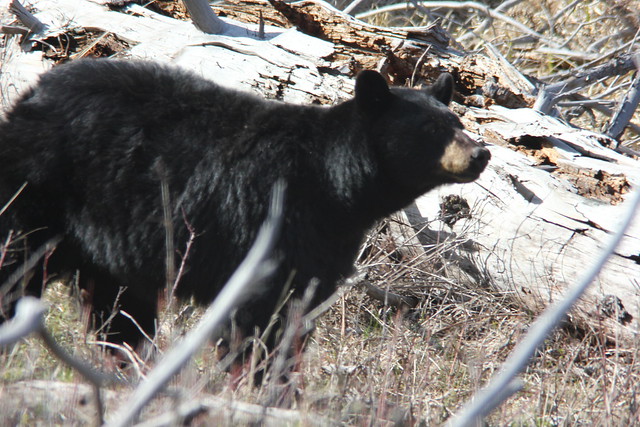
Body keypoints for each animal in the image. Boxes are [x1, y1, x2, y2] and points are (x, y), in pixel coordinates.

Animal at [0, 60, 490, 352]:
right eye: (431, 129)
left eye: (457, 120)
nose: (480, 153)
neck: (336, 187)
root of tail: (33, 93)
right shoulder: (264, 223)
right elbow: (258, 316)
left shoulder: (323, 243)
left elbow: (298, 305)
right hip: (37, 193)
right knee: (15, 263)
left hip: (110, 250)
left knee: (118, 311)